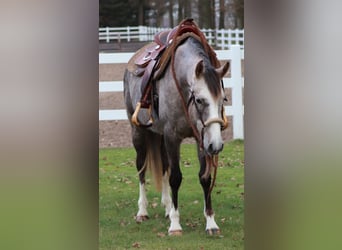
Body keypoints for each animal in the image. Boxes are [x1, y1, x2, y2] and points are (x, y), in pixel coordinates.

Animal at [123, 19, 230, 234]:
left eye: (223, 99)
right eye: (199, 100)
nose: (216, 145)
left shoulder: (200, 137)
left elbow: (204, 178)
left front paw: (211, 222)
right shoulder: (172, 136)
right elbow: (175, 177)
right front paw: (175, 224)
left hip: (160, 136)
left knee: (164, 166)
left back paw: (166, 207)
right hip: (138, 132)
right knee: (141, 167)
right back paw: (142, 211)